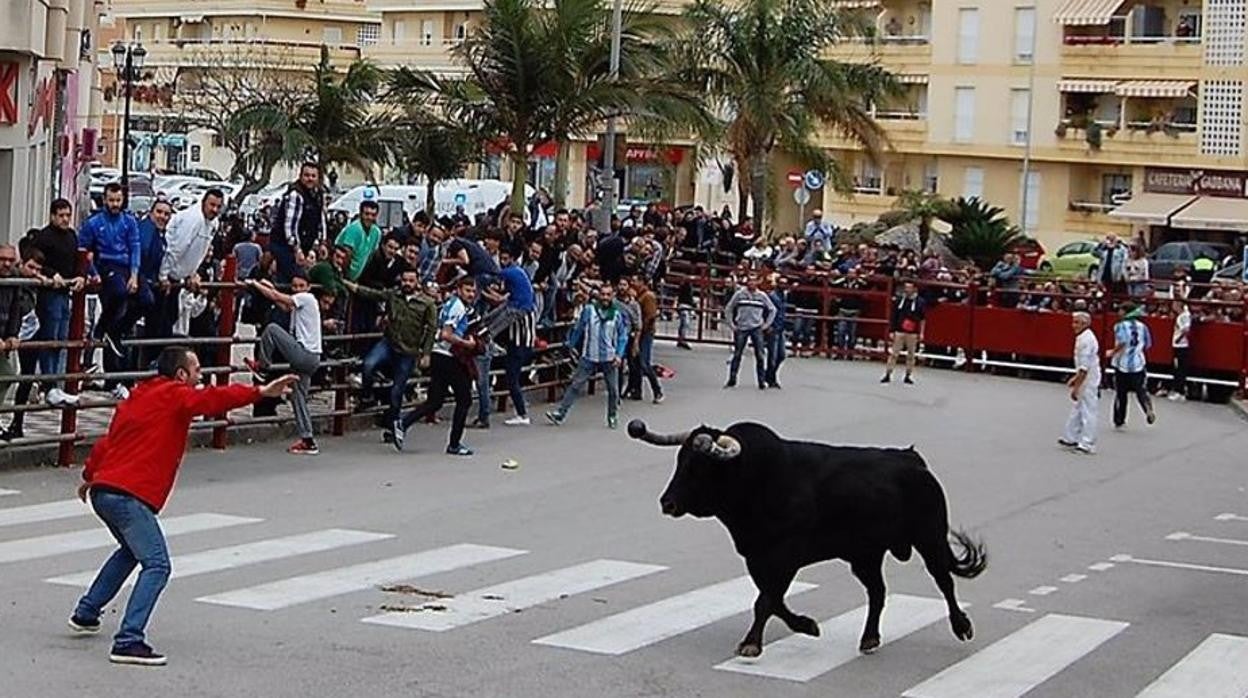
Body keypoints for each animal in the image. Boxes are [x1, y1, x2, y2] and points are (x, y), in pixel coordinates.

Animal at [628, 419, 988, 659]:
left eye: (698, 467)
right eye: (680, 461)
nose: (667, 503)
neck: (757, 479)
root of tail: (912, 460)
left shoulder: (784, 556)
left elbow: (766, 600)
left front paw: (751, 644)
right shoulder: (757, 557)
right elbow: (772, 599)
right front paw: (807, 625)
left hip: (930, 539)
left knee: (944, 581)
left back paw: (961, 626)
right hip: (865, 555)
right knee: (878, 592)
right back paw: (869, 638)